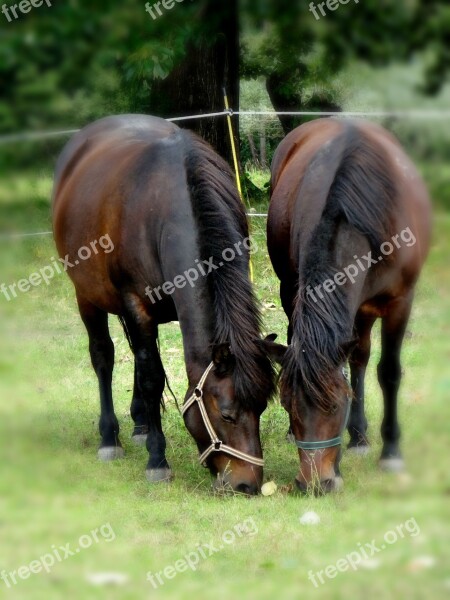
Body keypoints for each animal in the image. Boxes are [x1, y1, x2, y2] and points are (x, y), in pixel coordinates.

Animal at [51, 115, 274, 494]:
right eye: (226, 414)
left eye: (261, 410)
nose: (247, 485)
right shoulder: (135, 305)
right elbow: (152, 377)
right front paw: (157, 460)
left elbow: (147, 370)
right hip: (88, 297)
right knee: (104, 356)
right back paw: (110, 438)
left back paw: (140, 424)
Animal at [264, 117, 432, 492]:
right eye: (287, 404)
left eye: (335, 405)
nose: (314, 483)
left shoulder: (399, 302)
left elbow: (388, 371)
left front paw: (391, 451)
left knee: (361, 358)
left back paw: (361, 437)